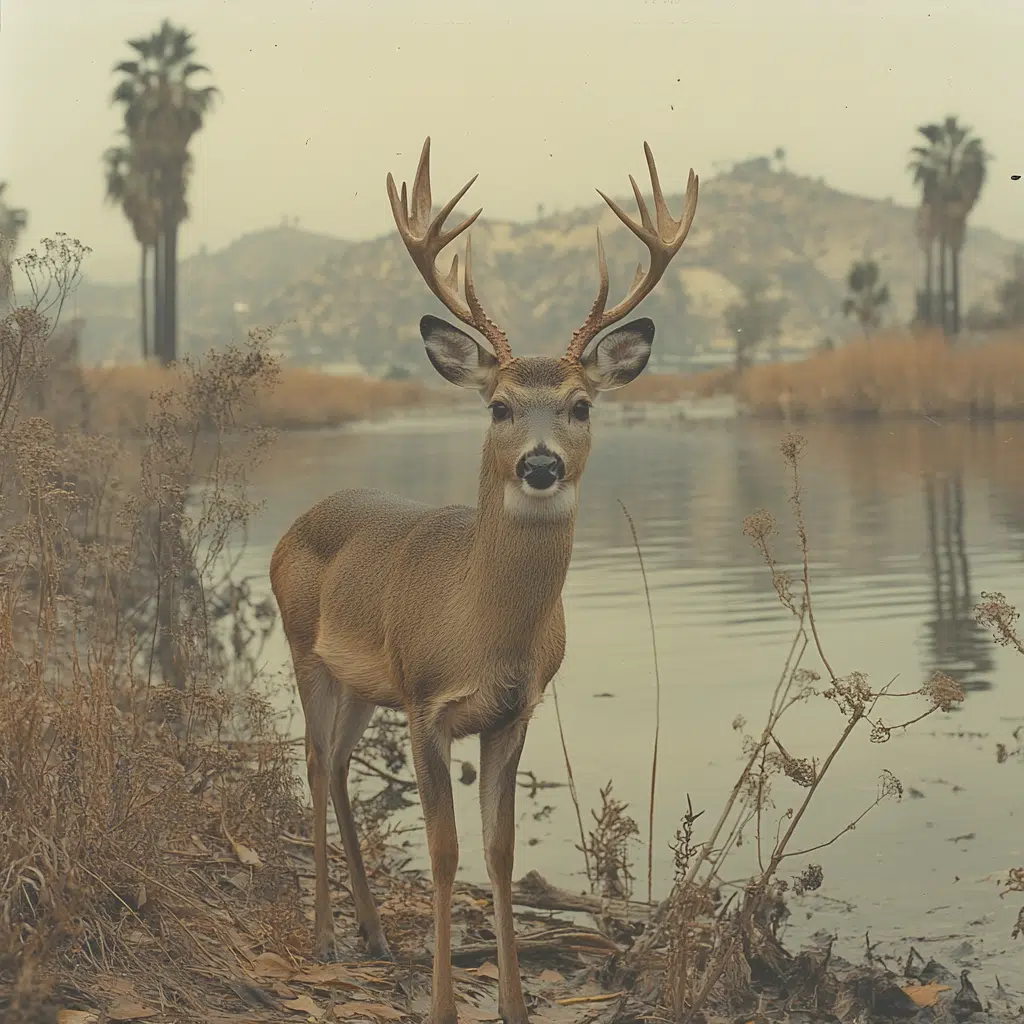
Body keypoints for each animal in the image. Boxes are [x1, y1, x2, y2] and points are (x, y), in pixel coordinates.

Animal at [268, 136, 700, 1024]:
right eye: (498, 405)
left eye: (580, 405)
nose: (539, 465)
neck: (482, 627)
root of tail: (291, 529)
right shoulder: (428, 702)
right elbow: (444, 853)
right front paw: (441, 1004)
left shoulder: (514, 709)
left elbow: (499, 853)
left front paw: (513, 1002)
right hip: (305, 650)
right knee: (314, 763)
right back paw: (325, 934)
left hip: (364, 684)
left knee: (338, 766)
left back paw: (371, 932)